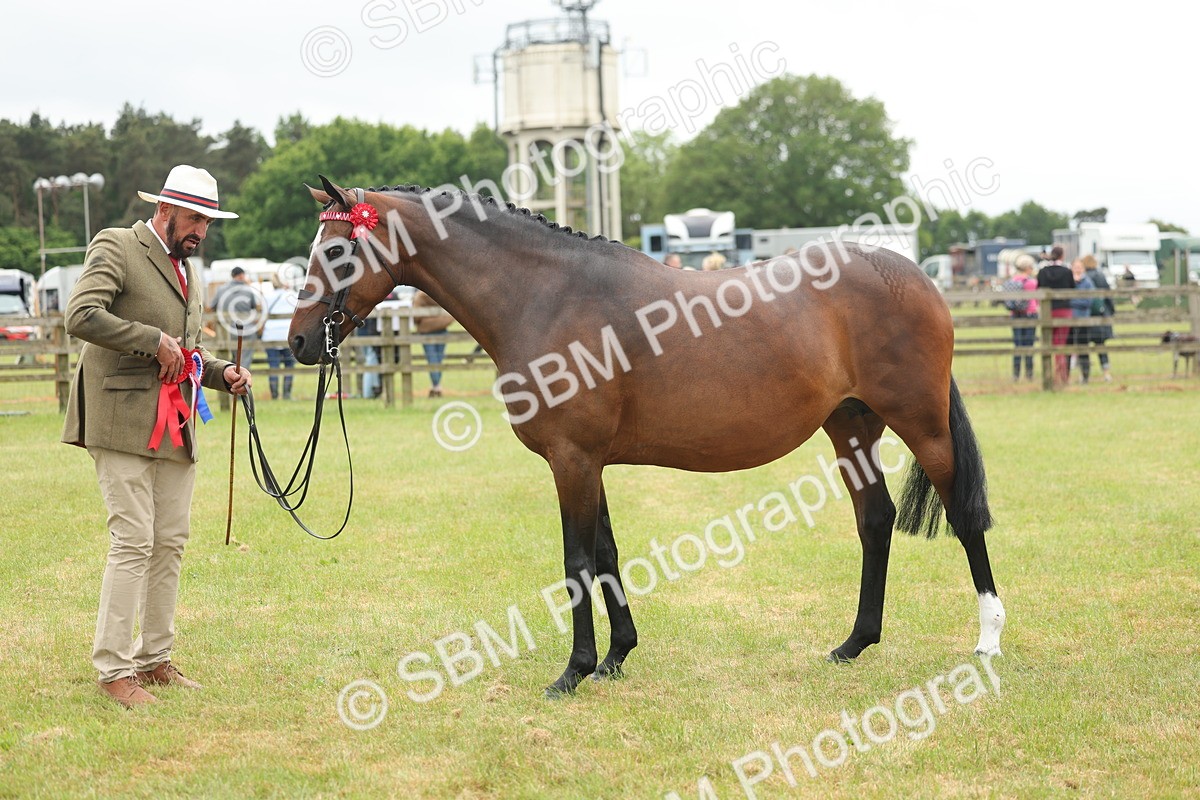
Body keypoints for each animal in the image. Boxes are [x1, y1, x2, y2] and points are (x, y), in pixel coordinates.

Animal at [289, 176, 1005, 697]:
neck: (546, 296)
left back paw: (988, 639)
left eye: (336, 251)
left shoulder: (572, 461)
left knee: (964, 517)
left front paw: (573, 671)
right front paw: (615, 657)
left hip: (921, 425)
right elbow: (606, 554)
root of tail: (917, 277)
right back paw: (854, 643)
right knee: (875, 520)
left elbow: (577, 562)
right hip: (851, 426)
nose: (297, 342)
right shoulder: (589, 463)